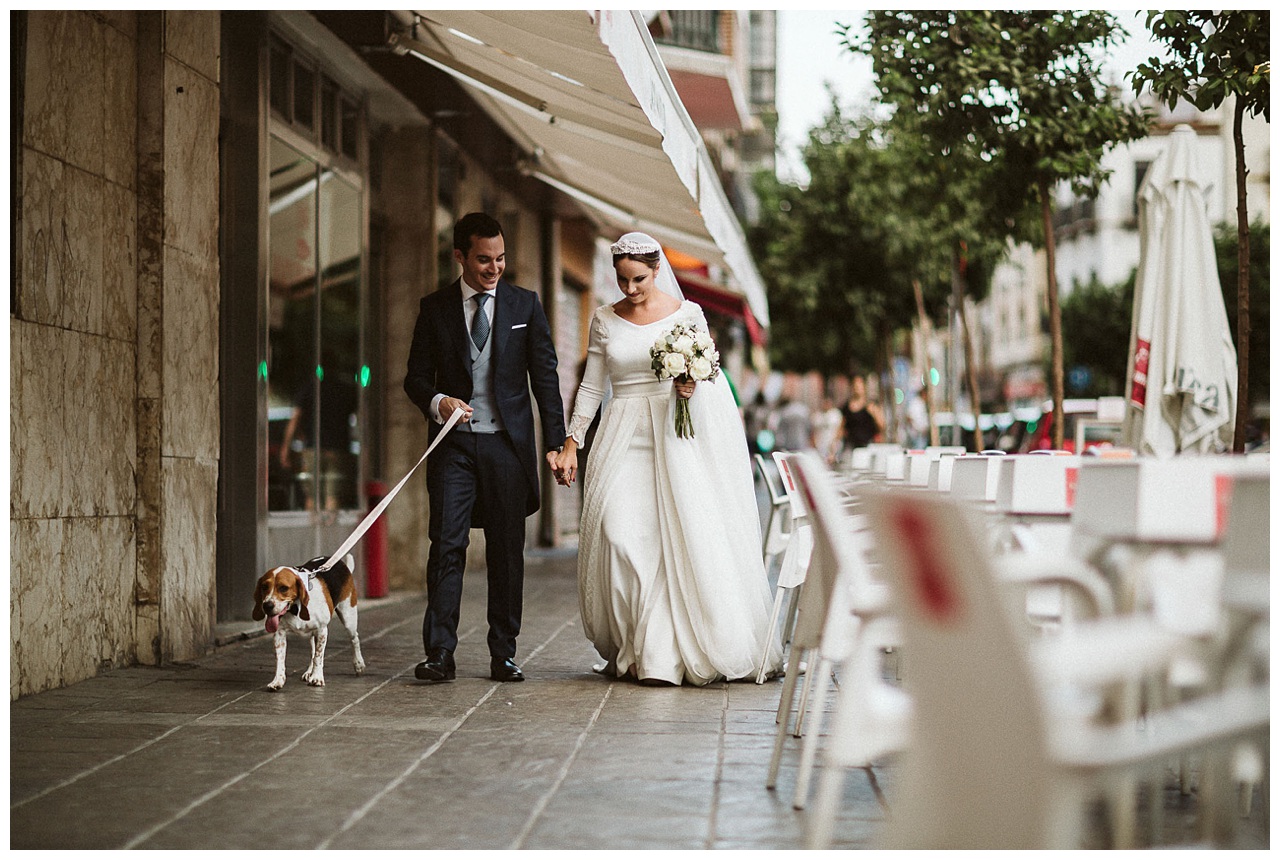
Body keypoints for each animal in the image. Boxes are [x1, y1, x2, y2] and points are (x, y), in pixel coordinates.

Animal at [252, 557, 366, 691]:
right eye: (264, 587)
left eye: (283, 588)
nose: (267, 606)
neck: (295, 608)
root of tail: (339, 562)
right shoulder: (279, 634)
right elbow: (280, 660)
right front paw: (278, 681)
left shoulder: (322, 630)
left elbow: (319, 656)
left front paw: (317, 677)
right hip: (312, 633)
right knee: (313, 651)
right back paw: (309, 672)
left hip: (348, 618)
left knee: (354, 639)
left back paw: (358, 664)